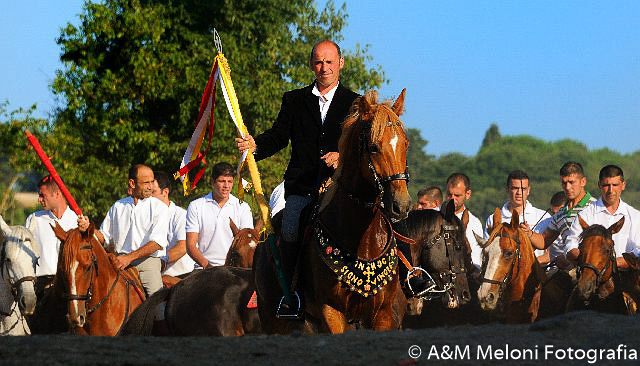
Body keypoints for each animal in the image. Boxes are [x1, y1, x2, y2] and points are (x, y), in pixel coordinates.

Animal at [254, 89, 410, 334]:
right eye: (374, 147)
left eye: (405, 144)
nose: (400, 205)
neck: (362, 240)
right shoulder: (331, 312)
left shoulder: (383, 314)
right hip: (273, 319)